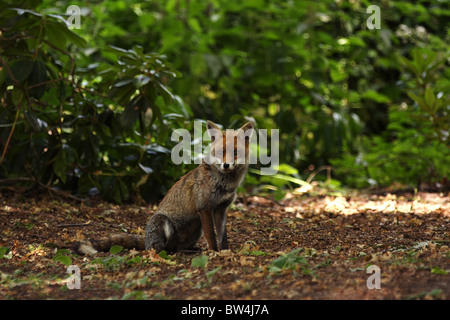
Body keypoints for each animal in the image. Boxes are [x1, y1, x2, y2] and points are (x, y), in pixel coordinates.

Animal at [75, 120, 255, 255]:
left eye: (235, 153)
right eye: (220, 152)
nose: (226, 165)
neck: (224, 183)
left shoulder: (220, 209)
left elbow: (222, 236)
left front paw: (224, 252)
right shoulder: (204, 208)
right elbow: (211, 235)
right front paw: (213, 252)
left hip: (196, 231)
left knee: (176, 247)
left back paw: (188, 251)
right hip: (164, 222)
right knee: (155, 249)